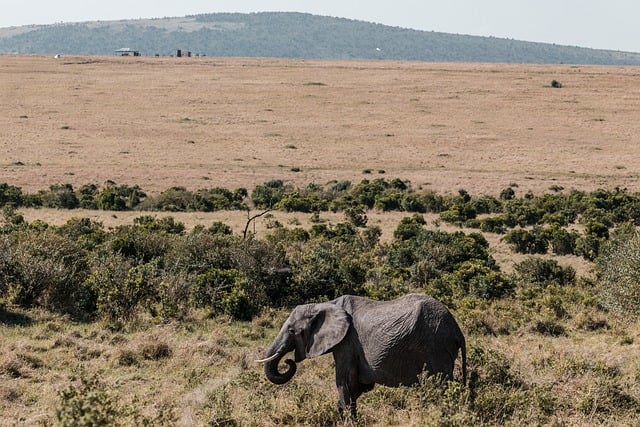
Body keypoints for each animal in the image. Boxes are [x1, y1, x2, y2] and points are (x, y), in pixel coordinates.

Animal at [256, 294, 470, 418]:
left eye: (291, 330)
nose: (288, 361)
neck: (324, 304)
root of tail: (457, 330)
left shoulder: (347, 342)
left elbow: (344, 381)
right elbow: (359, 386)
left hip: (436, 346)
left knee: (440, 386)